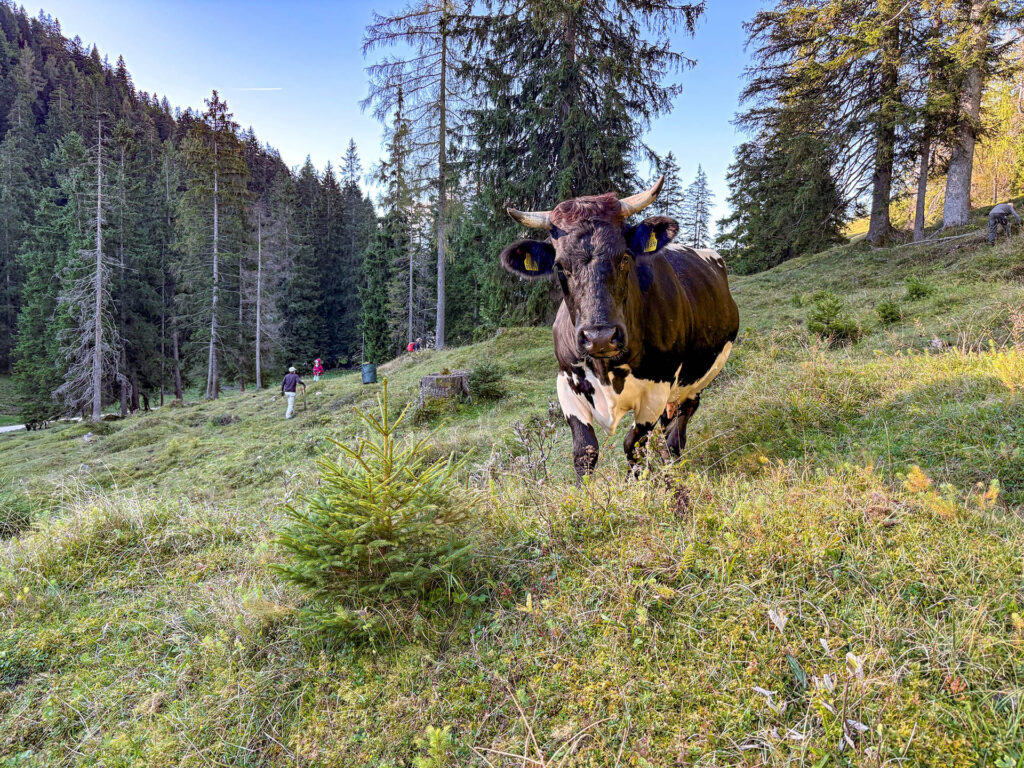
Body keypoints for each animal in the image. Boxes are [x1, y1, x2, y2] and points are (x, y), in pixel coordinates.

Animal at [499, 176, 739, 479]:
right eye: (560, 267)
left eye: (624, 257)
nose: (599, 337)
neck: (606, 369)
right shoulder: (566, 381)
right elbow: (585, 451)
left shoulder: (657, 389)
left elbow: (633, 444)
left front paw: (637, 483)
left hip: (697, 381)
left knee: (677, 428)